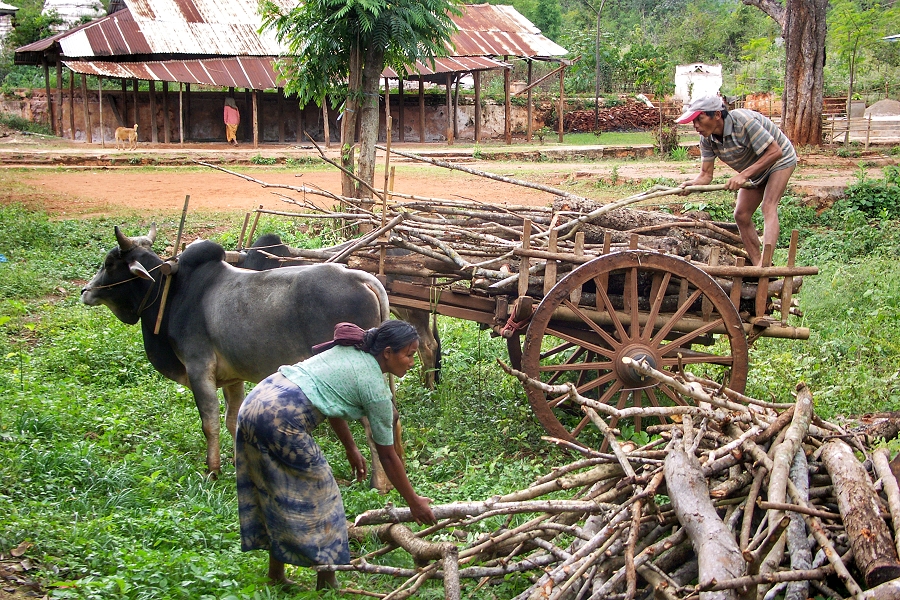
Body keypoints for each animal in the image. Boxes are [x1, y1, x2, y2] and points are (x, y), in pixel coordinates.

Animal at [81, 225, 390, 478]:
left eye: (109, 263)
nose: (85, 291)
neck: (173, 293)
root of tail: (360, 277)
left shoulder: (199, 369)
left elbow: (210, 424)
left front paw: (213, 470)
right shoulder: (233, 377)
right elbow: (233, 421)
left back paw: (379, 483)